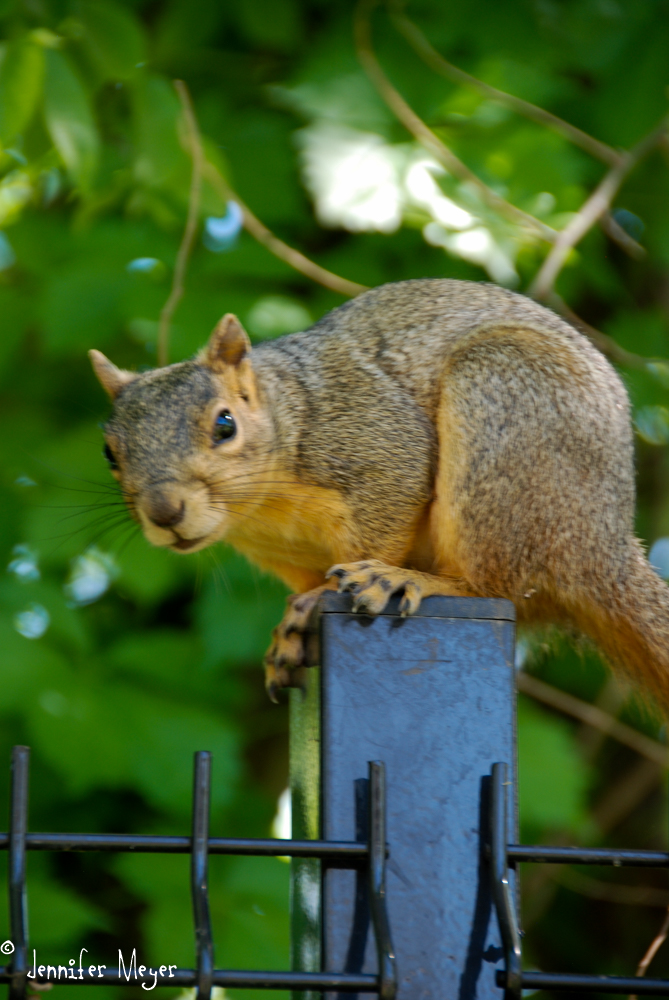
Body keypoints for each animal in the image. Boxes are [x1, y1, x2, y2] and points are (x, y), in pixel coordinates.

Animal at [90, 278, 668, 704]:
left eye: (225, 424)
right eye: (109, 453)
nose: (164, 511)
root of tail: (603, 547)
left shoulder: (378, 444)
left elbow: (386, 513)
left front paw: (339, 590)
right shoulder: (281, 550)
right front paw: (291, 623)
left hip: (505, 402)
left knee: (495, 582)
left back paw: (411, 580)